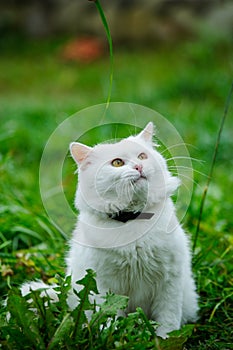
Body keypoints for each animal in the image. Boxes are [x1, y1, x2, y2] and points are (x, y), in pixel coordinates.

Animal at [66, 121, 199, 338]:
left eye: (142, 156)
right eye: (117, 163)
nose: (139, 166)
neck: (132, 217)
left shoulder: (169, 280)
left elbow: (168, 318)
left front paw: (164, 339)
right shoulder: (103, 284)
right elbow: (108, 317)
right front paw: (108, 335)